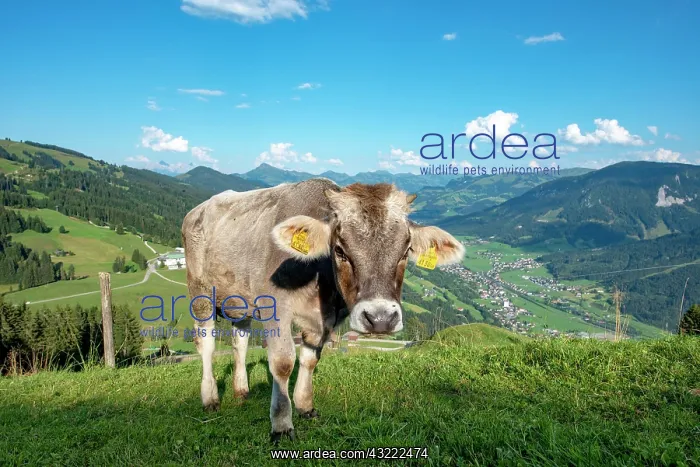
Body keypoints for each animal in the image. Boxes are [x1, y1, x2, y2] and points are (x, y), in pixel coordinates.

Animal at [181, 178, 465, 442]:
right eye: (339, 249)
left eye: (406, 251)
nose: (380, 319)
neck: (317, 278)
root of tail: (198, 209)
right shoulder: (274, 308)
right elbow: (283, 363)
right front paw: (282, 424)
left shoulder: (325, 318)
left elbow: (310, 358)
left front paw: (305, 406)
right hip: (200, 293)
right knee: (206, 343)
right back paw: (210, 398)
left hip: (240, 299)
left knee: (240, 341)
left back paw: (241, 391)